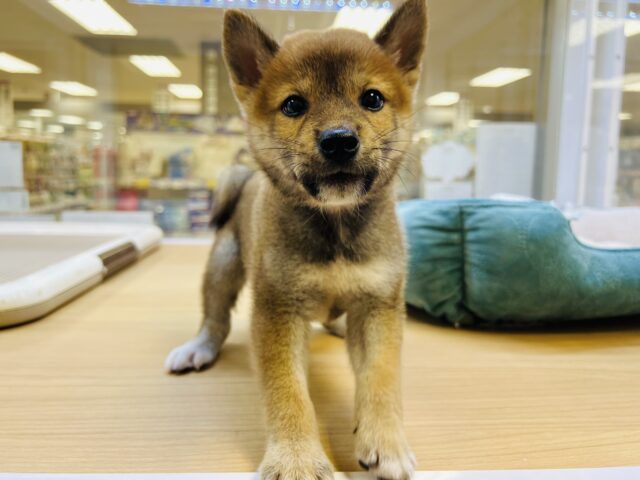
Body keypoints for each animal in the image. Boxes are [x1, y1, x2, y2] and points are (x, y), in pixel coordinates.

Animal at [165, 1, 428, 478]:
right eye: (293, 104)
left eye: (372, 99)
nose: (339, 140)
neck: (335, 225)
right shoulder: (277, 311)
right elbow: (288, 392)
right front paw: (296, 458)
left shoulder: (379, 306)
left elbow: (381, 378)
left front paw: (386, 441)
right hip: (223, 265)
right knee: (215, 318)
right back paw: (198, 347)